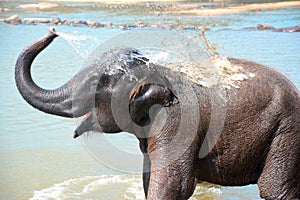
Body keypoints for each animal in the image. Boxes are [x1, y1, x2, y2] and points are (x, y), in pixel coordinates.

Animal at [14, 28, 300, 200]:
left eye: (95, 83)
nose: (53, 30)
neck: (158, 71)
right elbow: (148, 178)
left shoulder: (176, 122)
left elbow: (174, 186)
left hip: (286, 132)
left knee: (275, 190)